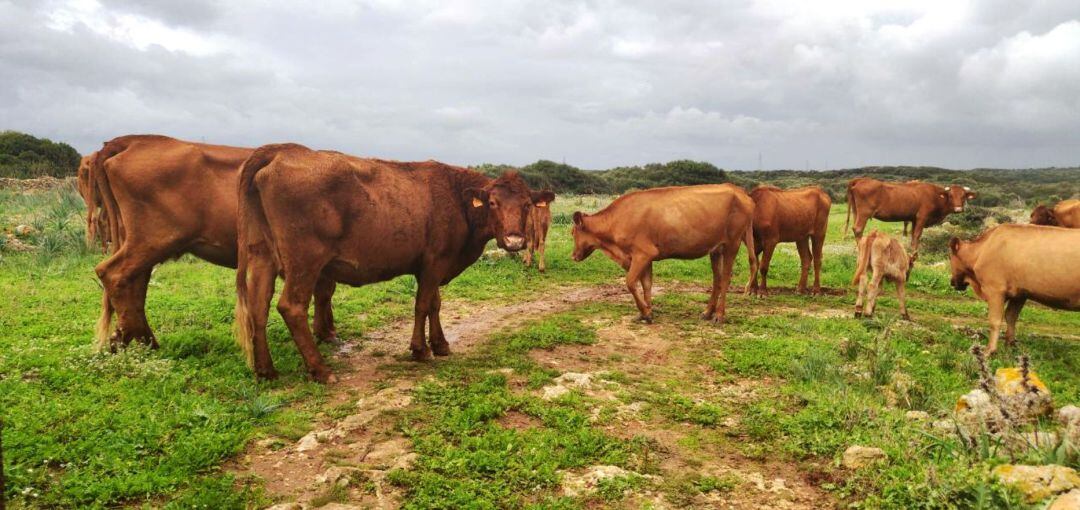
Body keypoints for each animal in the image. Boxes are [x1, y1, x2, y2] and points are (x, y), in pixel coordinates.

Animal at [91, 134, 339, 350]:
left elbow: (324, 290)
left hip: (140, 242)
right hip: (152, 240)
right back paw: (137, 339)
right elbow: (325, 290)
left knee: (135, 285)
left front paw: (325, 330)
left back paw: (129, 338)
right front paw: (325, 332)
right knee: (113, 274)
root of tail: (135, 140)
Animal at [233, 143, 552, 382]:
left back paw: (266, 370)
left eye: (526, 205)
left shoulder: (431, 264)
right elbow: (422, 305)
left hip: (262, 255)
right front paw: (420, 350)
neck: (455, 198)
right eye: (493, 204)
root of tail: (282, 151)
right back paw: (321, 370)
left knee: (258, 307)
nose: (514, 241)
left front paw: (440, 344)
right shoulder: (435, 261)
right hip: (304, 261)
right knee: (291, 307)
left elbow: (435, 304)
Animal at [570, 184, 756, 324]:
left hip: (732, 244)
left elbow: (630, 282)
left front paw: (645, 312)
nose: (573, 256)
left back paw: (719, 316)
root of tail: (739, 190)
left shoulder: (643, 253)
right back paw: (707, 312)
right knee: (717, 279)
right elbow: (646, 284)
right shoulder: (646, 257)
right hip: (716, 249)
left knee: (725, 279)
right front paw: (646, 313)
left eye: (572, 233)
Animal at [842, 177, 980, 252]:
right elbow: (917, 235)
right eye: (950, 196)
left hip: (856, 212)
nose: (958, 209)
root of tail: (860, 179)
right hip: (864, 213)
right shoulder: (922, 217)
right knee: (858, 229)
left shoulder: (913, 219)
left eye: (963, 196)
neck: (935, 196)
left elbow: (913, 235)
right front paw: (914, 253)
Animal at [950, 224, 1075, 352]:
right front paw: (1010, 345)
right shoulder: (1020, 293)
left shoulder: (994, 289)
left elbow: (994, 320)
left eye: (950, 257)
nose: (952, 282)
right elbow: (1011, 316)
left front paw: (989, 350)